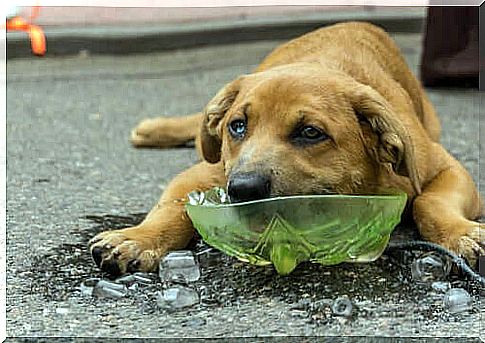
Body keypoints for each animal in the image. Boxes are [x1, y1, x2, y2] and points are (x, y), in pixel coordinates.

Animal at [89, 21, 482, 276]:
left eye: (310, 132)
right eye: (237, 126)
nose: (242, 190)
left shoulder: (445, 168)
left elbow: (431, 202)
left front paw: (461, 234)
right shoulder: (207, 171)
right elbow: (171, 207)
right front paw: (137, 238)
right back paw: (154, 130)